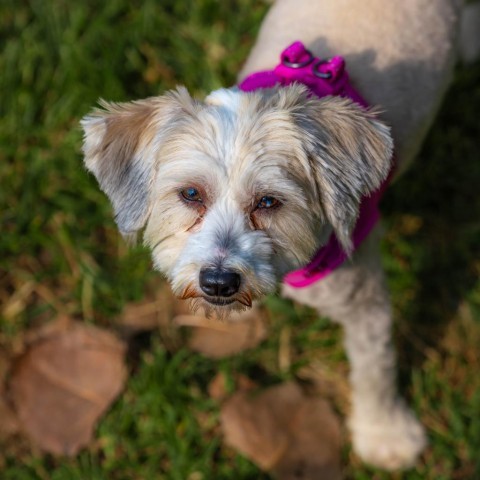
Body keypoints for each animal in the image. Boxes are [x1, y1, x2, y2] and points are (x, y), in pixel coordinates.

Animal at [80, 0, 474, 468]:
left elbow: (374, 369)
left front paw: (386, 436)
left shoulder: (365, 300)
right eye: (191, 194)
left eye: (269, 202)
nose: (218, 282)